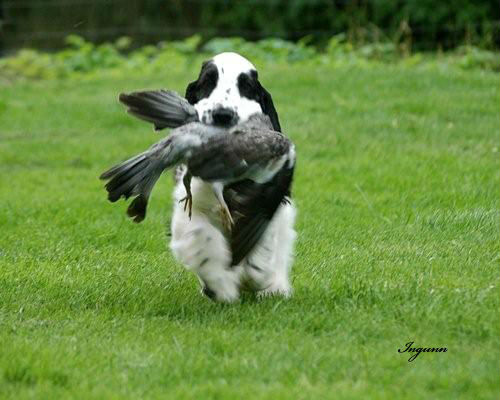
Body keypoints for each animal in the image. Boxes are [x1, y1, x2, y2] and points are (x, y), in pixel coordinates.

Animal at [170, 54, 294, 304]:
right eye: (208, 82)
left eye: (246, 86)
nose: (222, 114)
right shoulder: (191, 204)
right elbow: (202, 236)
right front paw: (221, 285)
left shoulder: (272, 201)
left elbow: (262, 236)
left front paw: (256, 273)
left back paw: (273, 288)